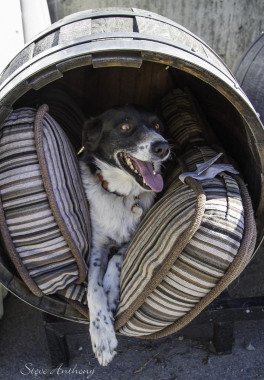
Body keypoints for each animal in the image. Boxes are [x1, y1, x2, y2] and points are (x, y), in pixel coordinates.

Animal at [79, 104, 170, 366]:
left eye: (157, 125)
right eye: (125, 126)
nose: (163, 147)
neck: (123, 196)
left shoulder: (131, 237)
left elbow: (117, 259)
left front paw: (110, 293)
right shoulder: (97, 245)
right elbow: (93, 287)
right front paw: (102, 334)